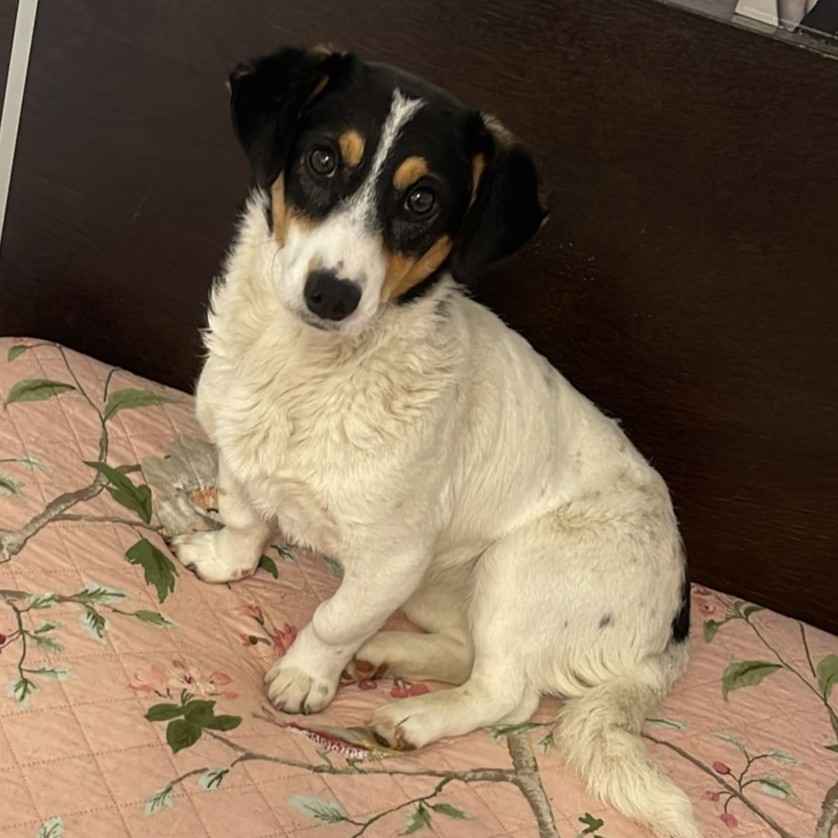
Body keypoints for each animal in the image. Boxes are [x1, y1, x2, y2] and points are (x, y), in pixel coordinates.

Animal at [173, 46, 699, 838]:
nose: (332, 294)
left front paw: (305, 676)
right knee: (465, 653)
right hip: (445, 590)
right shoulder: (240, 455)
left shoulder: (391, 559)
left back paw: (413, 716)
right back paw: (386, 654)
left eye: (421, 202)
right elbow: (244, 518)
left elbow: (333, 619)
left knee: (508, 691)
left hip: (517, 569)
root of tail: (669, 632)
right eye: (322, 160)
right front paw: (225, 560)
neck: (306, 373)